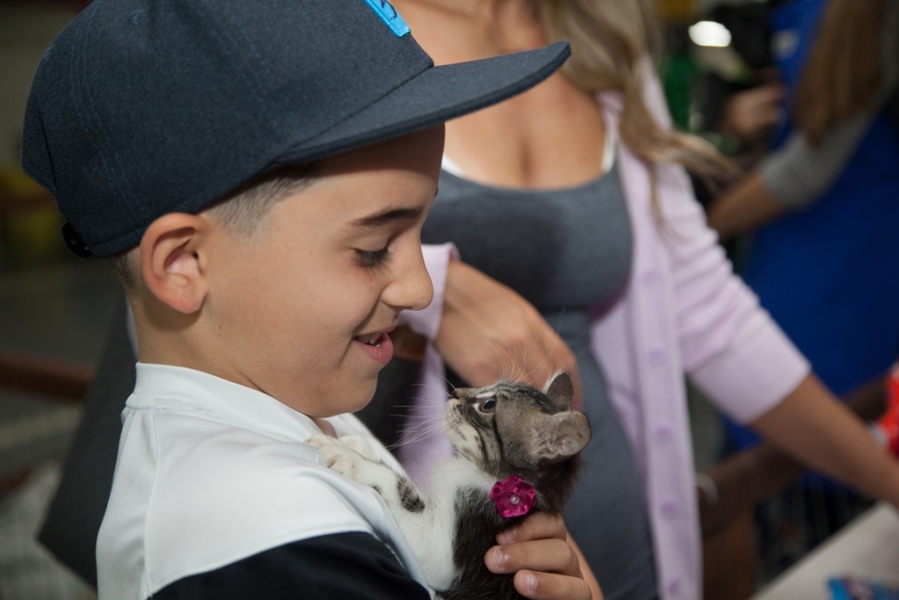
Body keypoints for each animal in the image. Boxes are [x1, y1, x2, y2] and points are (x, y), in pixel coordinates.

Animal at [306, 372, 596, 596]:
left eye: (488, 405)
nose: (456, 391)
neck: (479, 472)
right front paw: (358, 443)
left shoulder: (456, 547)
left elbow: (397, 485)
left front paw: (347, 456)